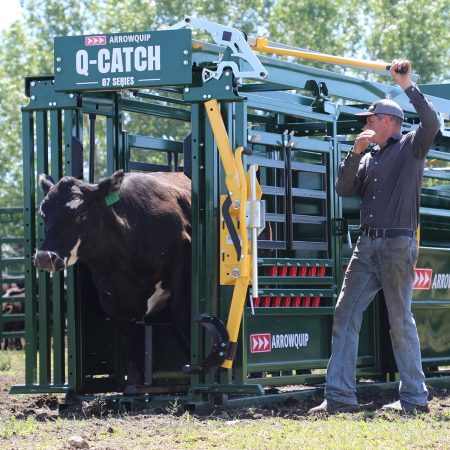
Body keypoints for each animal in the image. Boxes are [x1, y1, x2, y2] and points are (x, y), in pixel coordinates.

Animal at [34, 171, 190, 388]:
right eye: (43, 214)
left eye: (81, 210)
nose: (44, 257)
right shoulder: (112, 299)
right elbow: (130, 338)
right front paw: (134, 382)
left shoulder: (180, 253)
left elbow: (180, 312)